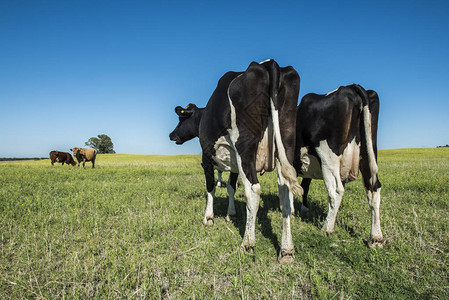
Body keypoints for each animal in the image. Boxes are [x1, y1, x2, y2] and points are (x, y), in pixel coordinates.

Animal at [169, 60, 300, 262]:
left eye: (180, 119)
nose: (171, 134)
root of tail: (267, 63)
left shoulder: (207, 159)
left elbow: (210, 187)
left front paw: (208, 218)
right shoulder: (234, 165)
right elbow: (231, 186)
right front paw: (231, 214)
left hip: (245, 147)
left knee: (253, 190)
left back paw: (247, 244)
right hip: (286, 144)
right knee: (285, 191)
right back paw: (286, 251)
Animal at [294, 85, 382, 248]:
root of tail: (351, 87)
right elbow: (304, 186)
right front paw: (303, 209)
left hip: (328, 157)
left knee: (336, 190)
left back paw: (327, 228)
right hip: (368, 153)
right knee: (373, 188)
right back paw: (376, 237)